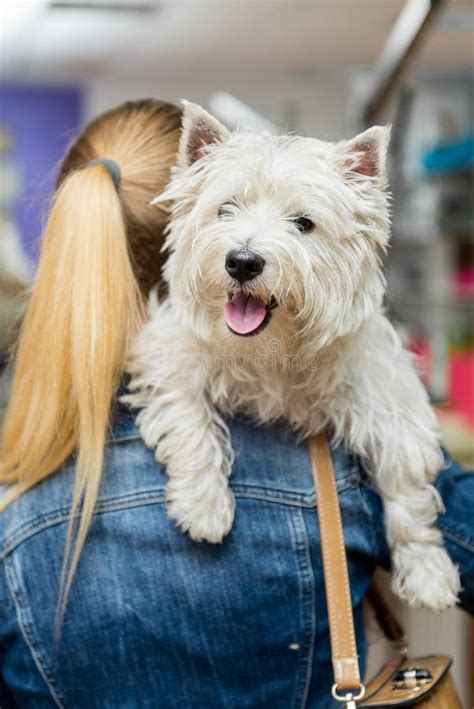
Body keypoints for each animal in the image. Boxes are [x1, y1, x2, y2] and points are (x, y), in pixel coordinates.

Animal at [126, 102, 460, 612]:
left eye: (303, 223)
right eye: (226, 209)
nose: (242, 261)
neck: (273, 351)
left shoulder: (390, 402)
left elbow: (409, 494)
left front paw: (427, 573)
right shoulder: (167, 354)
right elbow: (190, 422)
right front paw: (204, 506)